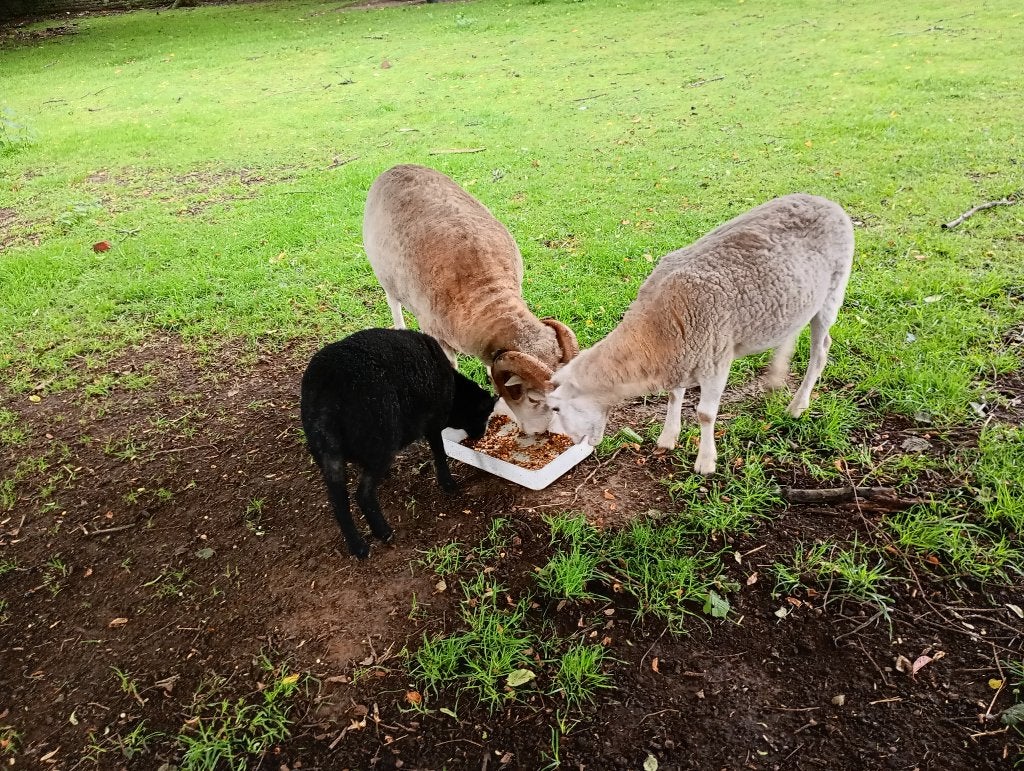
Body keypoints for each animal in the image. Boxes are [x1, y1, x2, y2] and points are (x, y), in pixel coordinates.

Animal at [300, 328, 497, 558]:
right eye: (483, 415)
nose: (480, 435)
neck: (456, 393)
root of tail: (326, 393)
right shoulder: (433, 421)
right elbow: (439, 452)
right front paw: (448, 483)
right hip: (381, 442)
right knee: (363, 494)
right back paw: (383, 532)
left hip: (328, 452)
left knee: (338, 501)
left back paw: (358, 546)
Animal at [363, 163, 579, 436]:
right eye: (533, 398)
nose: (537, 432)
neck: (486, 293)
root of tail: (396, 167)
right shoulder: (437, 336)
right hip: (384, 277)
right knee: (394, 303)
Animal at [547, 193, 854, 475]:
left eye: (556, 409)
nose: (571, 442)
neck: (654, 336)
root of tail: (825, 201)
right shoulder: (681, 356)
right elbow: (674, 397)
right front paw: (668, 437)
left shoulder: (715, 358)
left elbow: (705, 414)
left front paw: (706, 462)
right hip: (798, 300)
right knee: (792, 332)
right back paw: (776, 377)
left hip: (833, 291)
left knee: (821, 350)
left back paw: (798, 405)